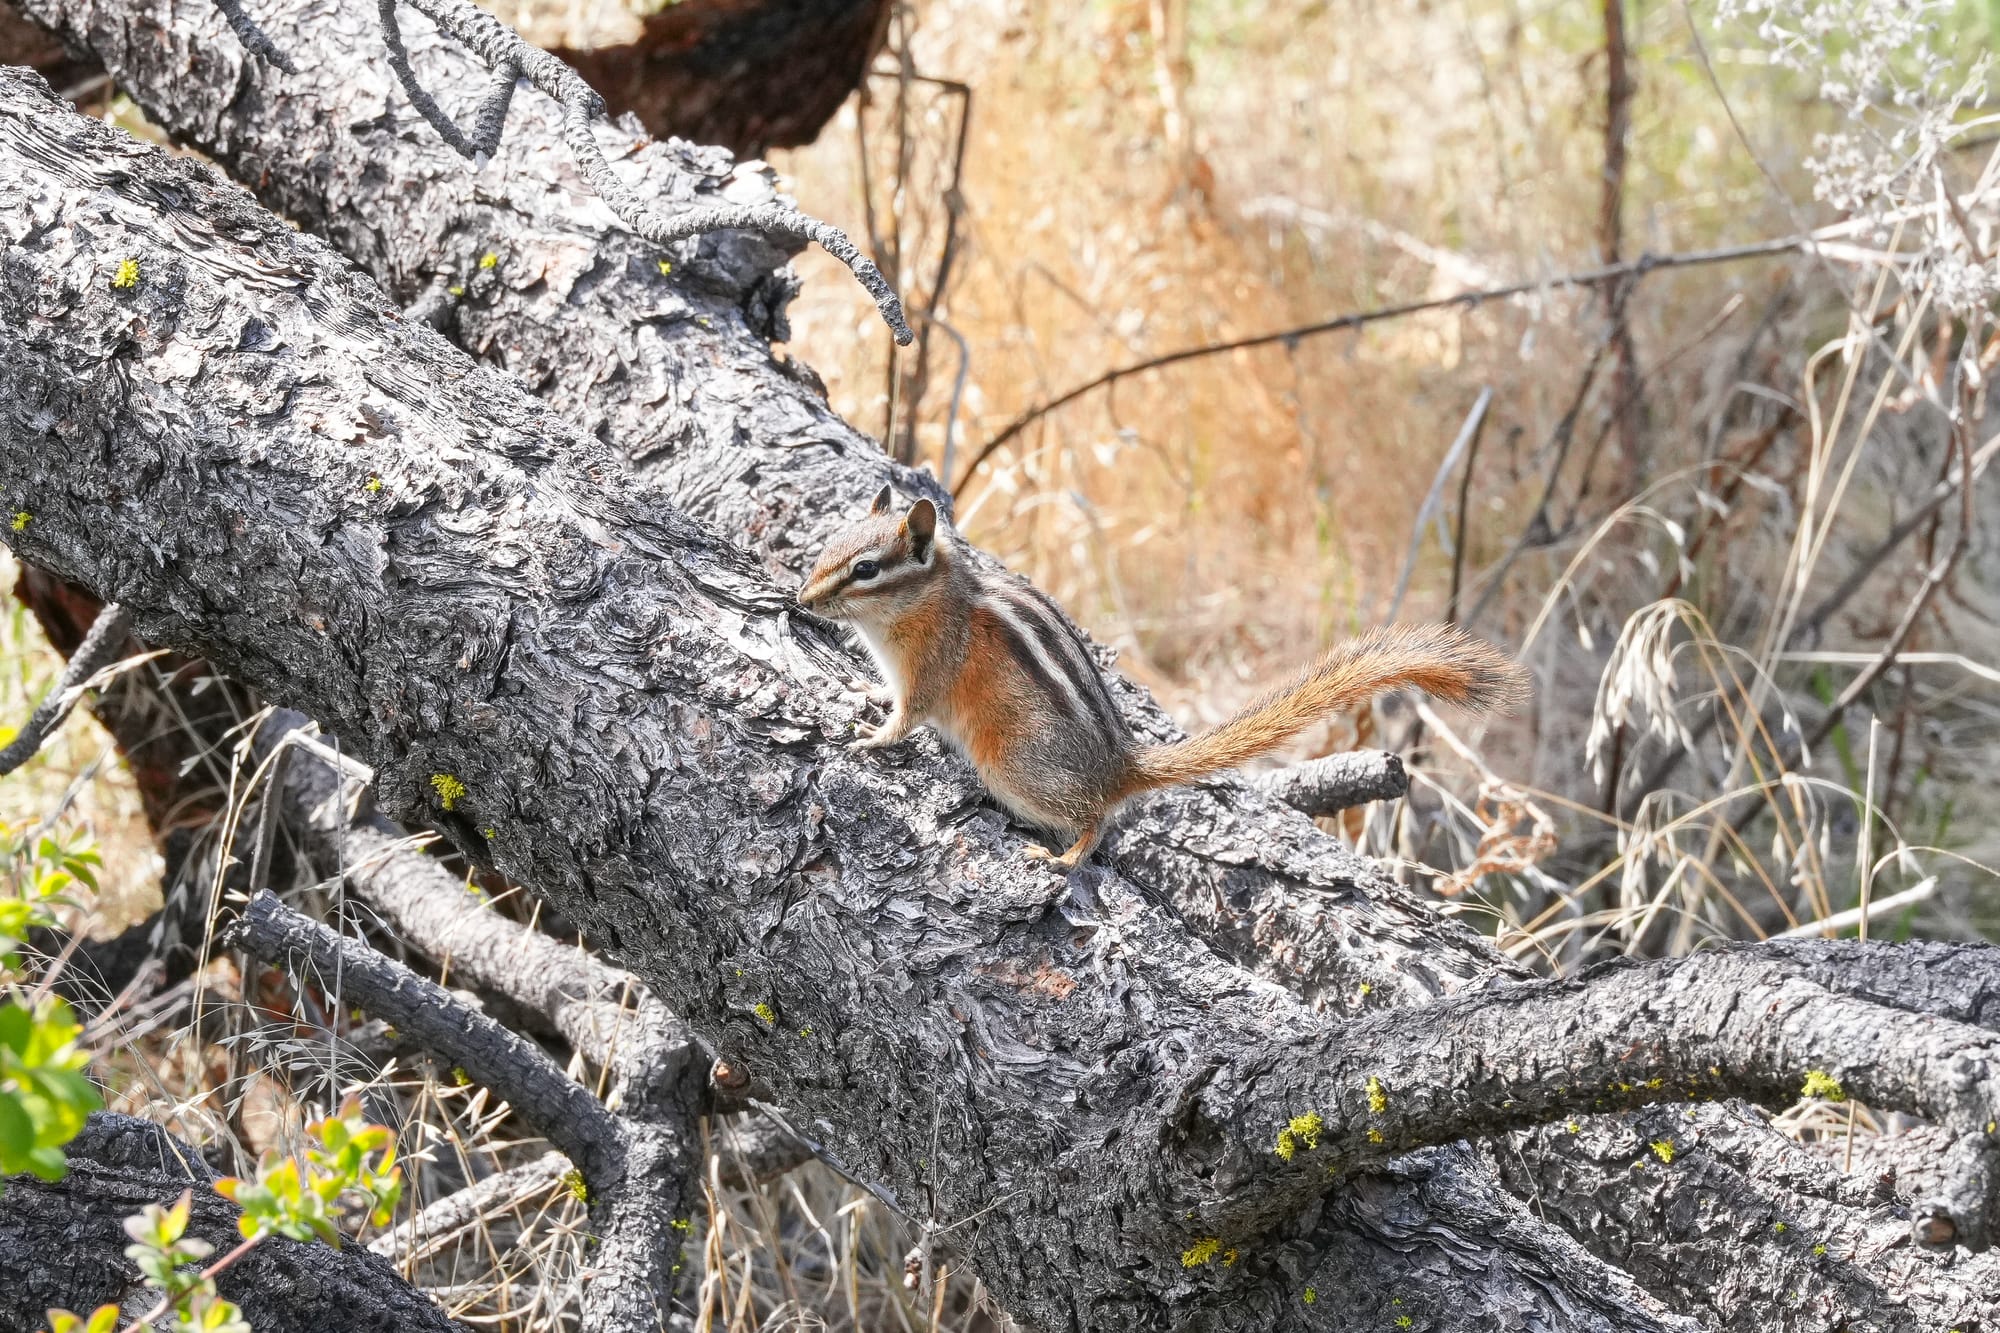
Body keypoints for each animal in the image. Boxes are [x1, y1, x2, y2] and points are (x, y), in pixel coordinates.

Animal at [797, 486, 1527, 868]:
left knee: (1096, 819)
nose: (802, 599)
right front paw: (865, 691)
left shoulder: (931, 668)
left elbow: (906, 719)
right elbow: (889, 696)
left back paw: (1064, 858)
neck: (925, 600)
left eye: (866, 569)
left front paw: (869, 738)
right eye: (828, 544)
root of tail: (1120, 766)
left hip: (1013, 764)